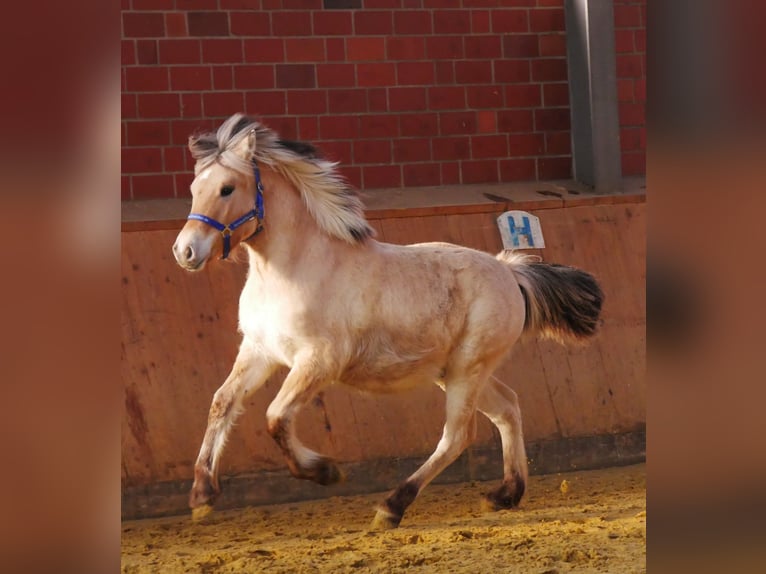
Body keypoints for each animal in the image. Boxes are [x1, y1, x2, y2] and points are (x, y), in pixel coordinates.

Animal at [172, 112, 608, 532]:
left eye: (227, 189)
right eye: (194, 187)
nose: (185, 251)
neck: (292, 271)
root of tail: (509, 271)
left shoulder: (318, 361)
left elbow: (276, 418)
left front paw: (326, 472)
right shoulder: (260, 351)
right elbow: (222, 402)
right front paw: (202, 495)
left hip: (468, 369)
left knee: (457, 434)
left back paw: (392, 507)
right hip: (455, 371)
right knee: (507, 408)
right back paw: (505, 494)